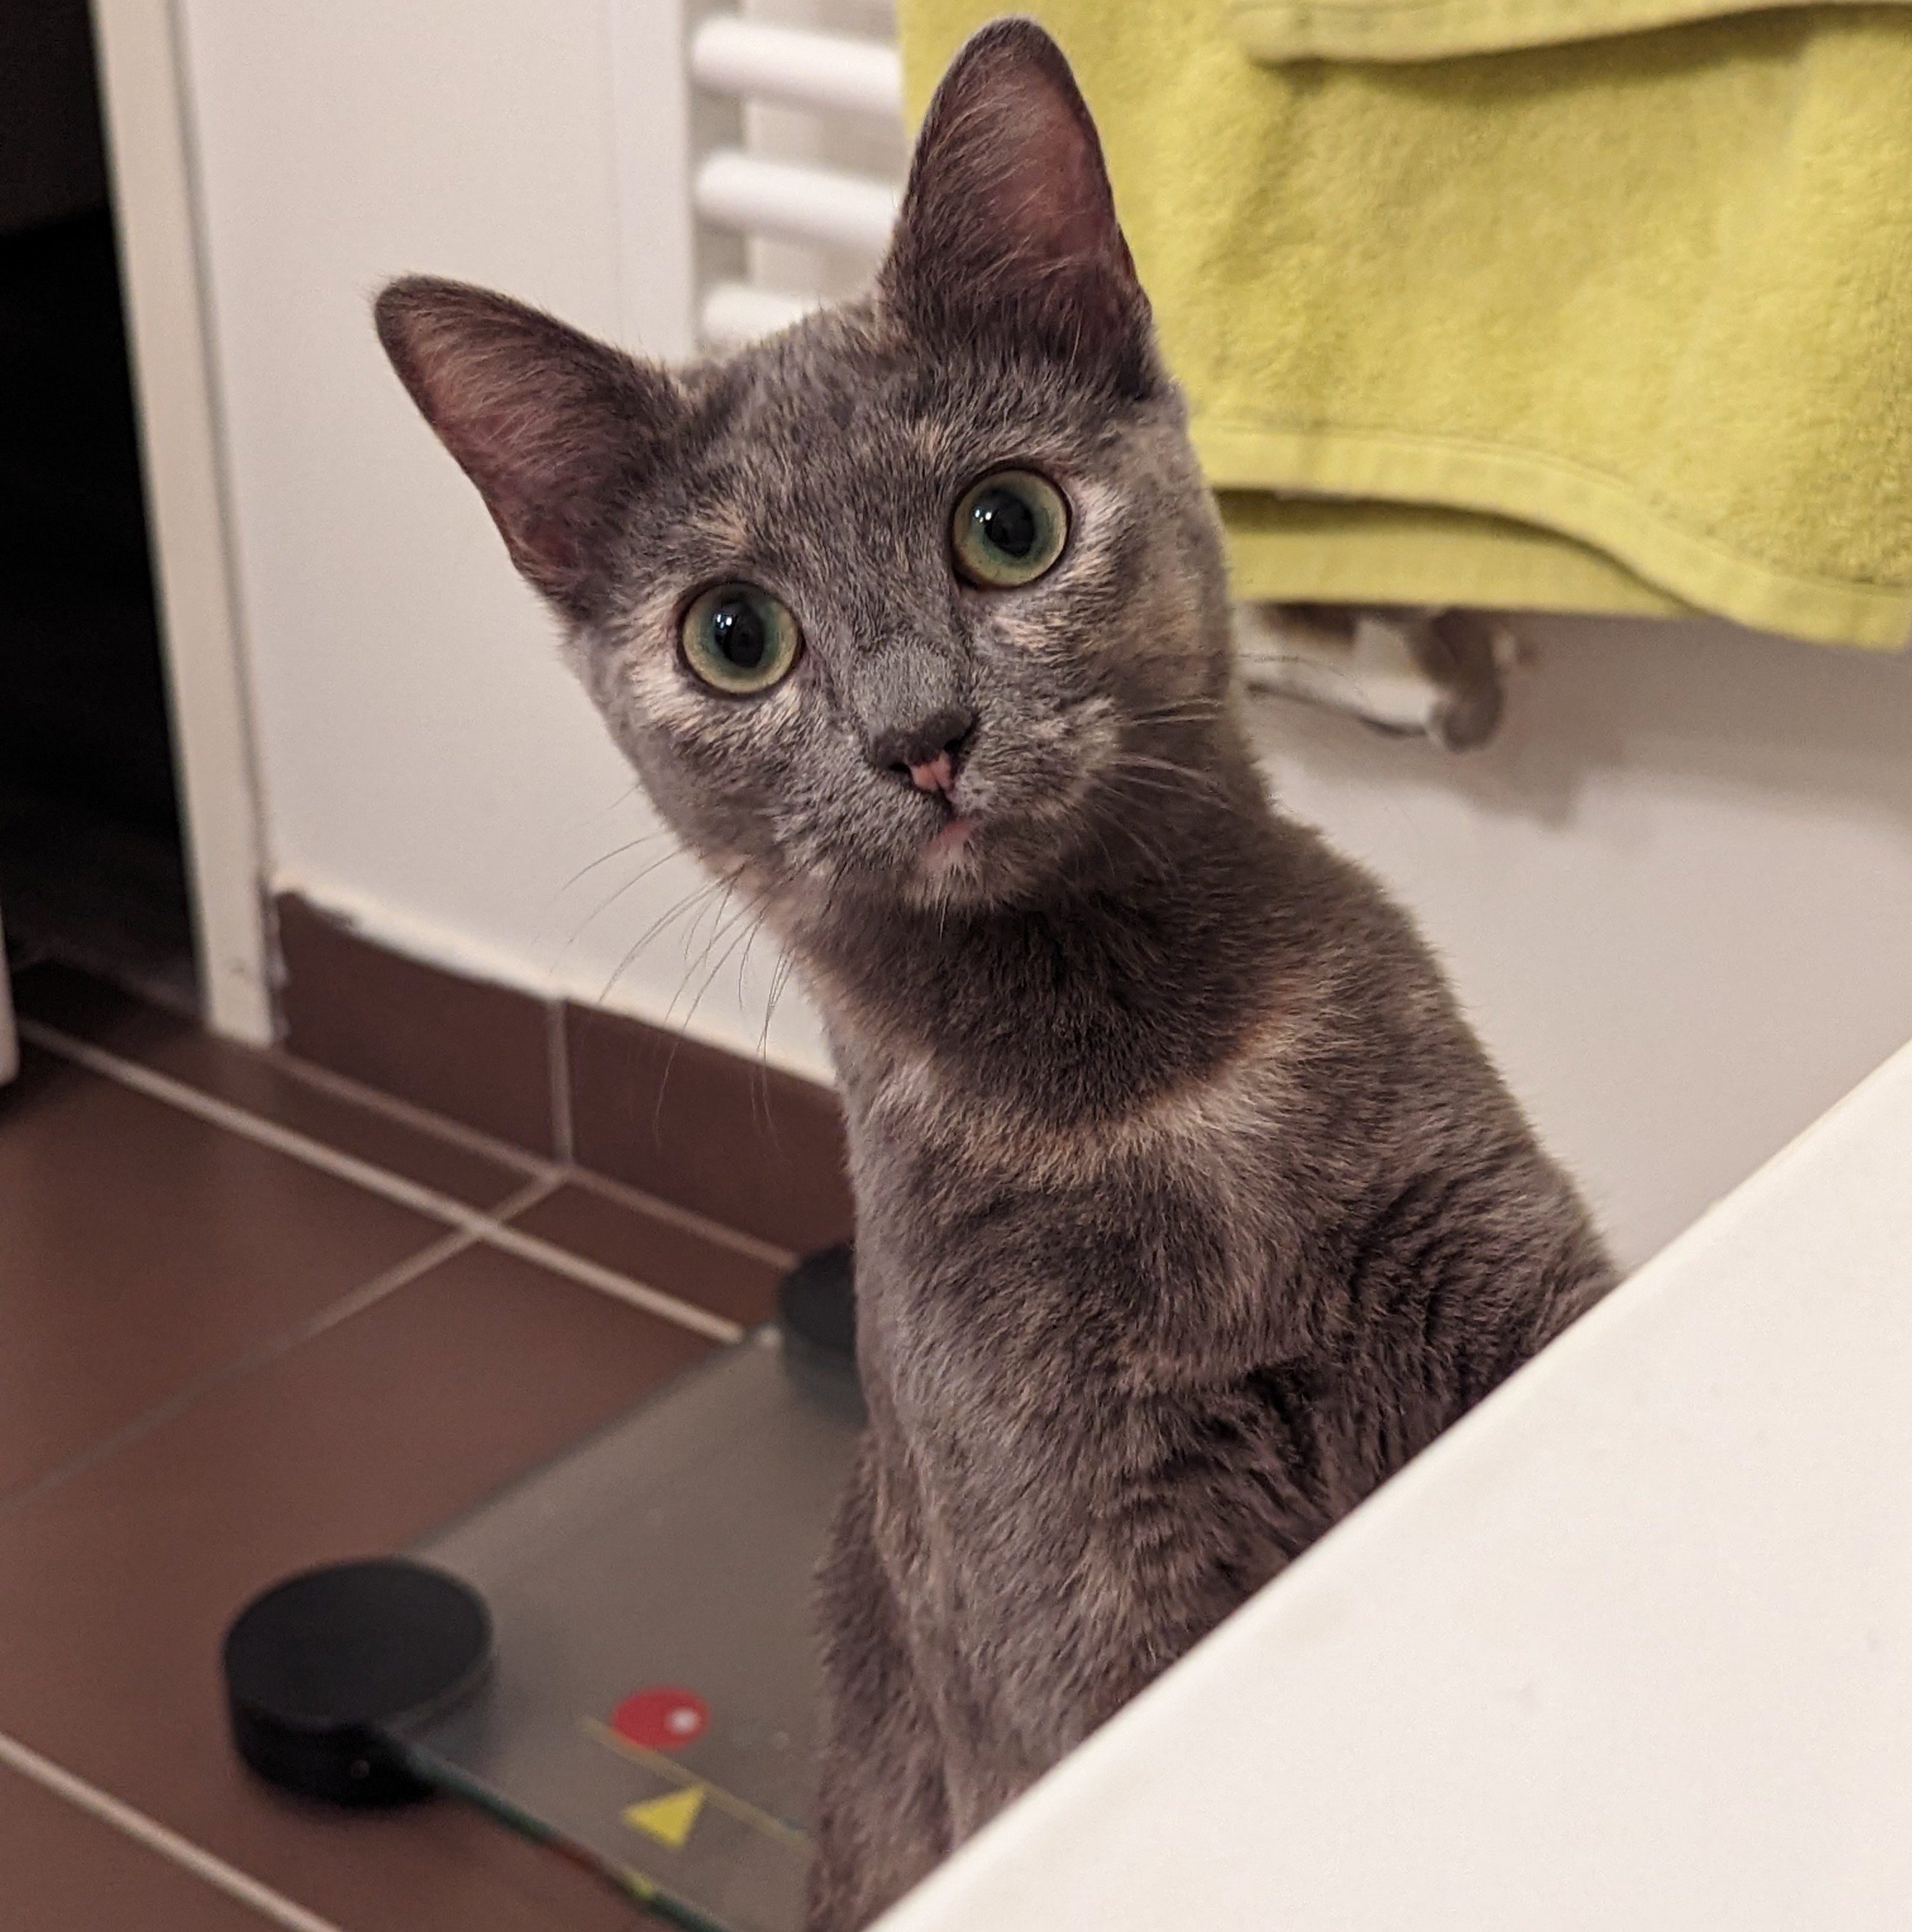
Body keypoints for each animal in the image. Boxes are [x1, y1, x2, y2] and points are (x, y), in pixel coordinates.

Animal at [374, 19, 1616, 1928]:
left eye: (1009, 526)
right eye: (733, 636)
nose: (920, 735)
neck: (1134, 1079)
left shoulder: (1526, 1291)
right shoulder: (1069, 1585)